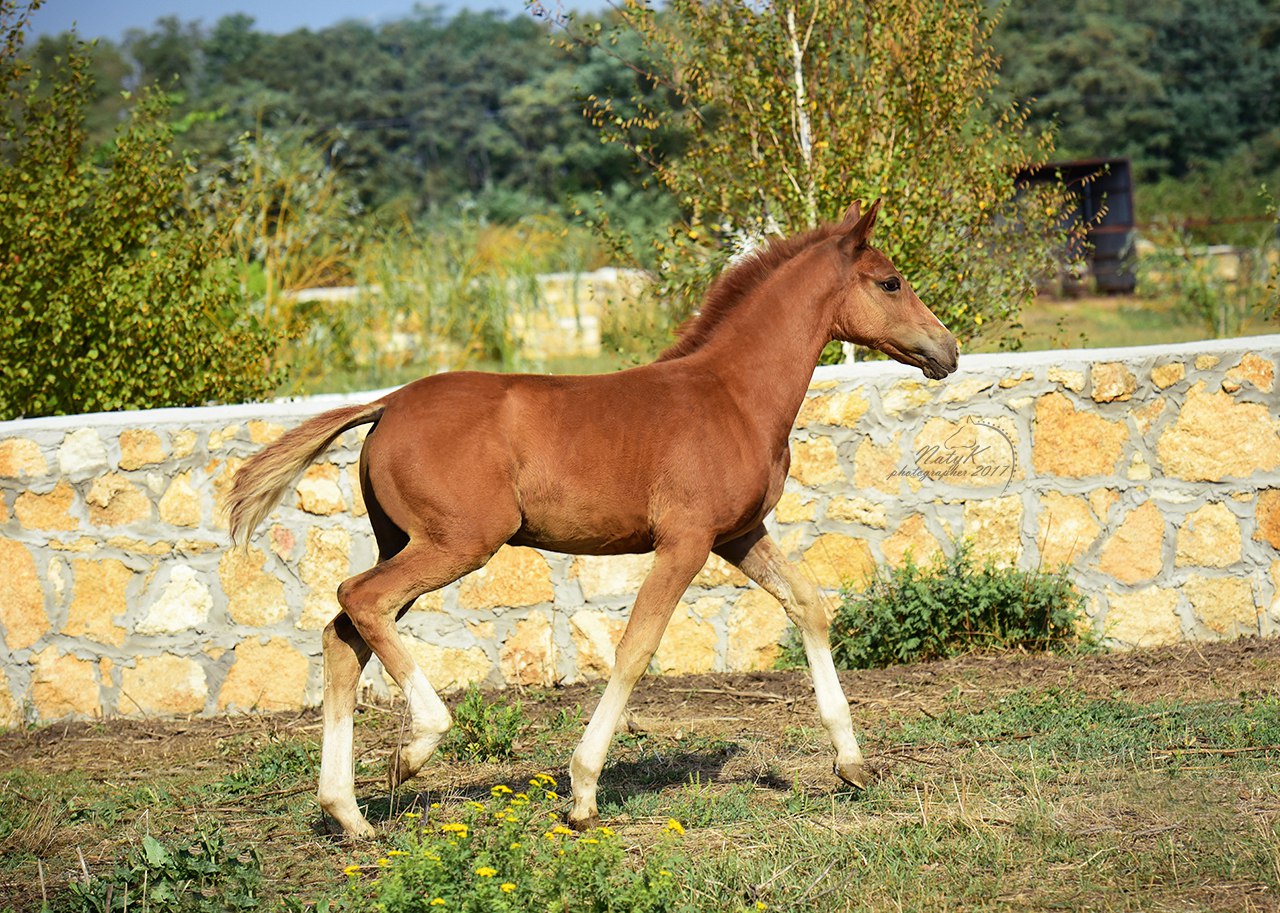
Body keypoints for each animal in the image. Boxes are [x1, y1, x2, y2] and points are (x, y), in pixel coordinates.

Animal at [225, 201, 957, 840]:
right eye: (890, 281)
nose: (946, 350)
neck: (732, 395)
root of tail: (386, 404)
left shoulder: (740, 536)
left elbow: (808, 605)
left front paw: (852, 763)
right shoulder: (686, 541)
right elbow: (636, 647)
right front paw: (581, 793)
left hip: (402, 541)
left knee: (342, 635)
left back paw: (347, 814)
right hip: (456, 543)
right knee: (360, 598)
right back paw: (416, 748)